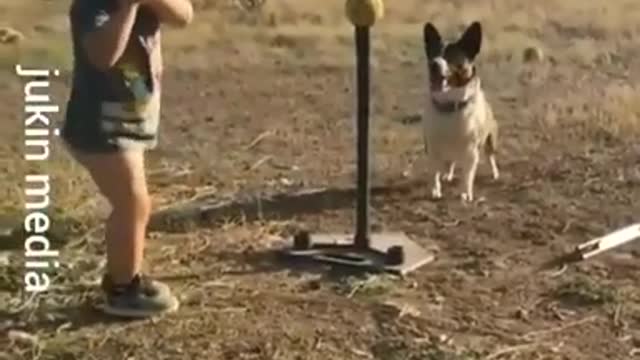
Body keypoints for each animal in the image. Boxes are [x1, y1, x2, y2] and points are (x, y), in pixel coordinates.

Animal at [422, 21, 502, 202]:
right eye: (432, 54)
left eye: (451, 56)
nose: (434, 64)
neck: (450, 106)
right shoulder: (432, 148)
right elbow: (433, 173)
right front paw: (435, 190)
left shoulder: (471, 151)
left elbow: (467, 175)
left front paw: (465, 193)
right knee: (450, 162)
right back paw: (448, 174)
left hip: (489, 140)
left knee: (491, 156)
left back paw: (494, 172)